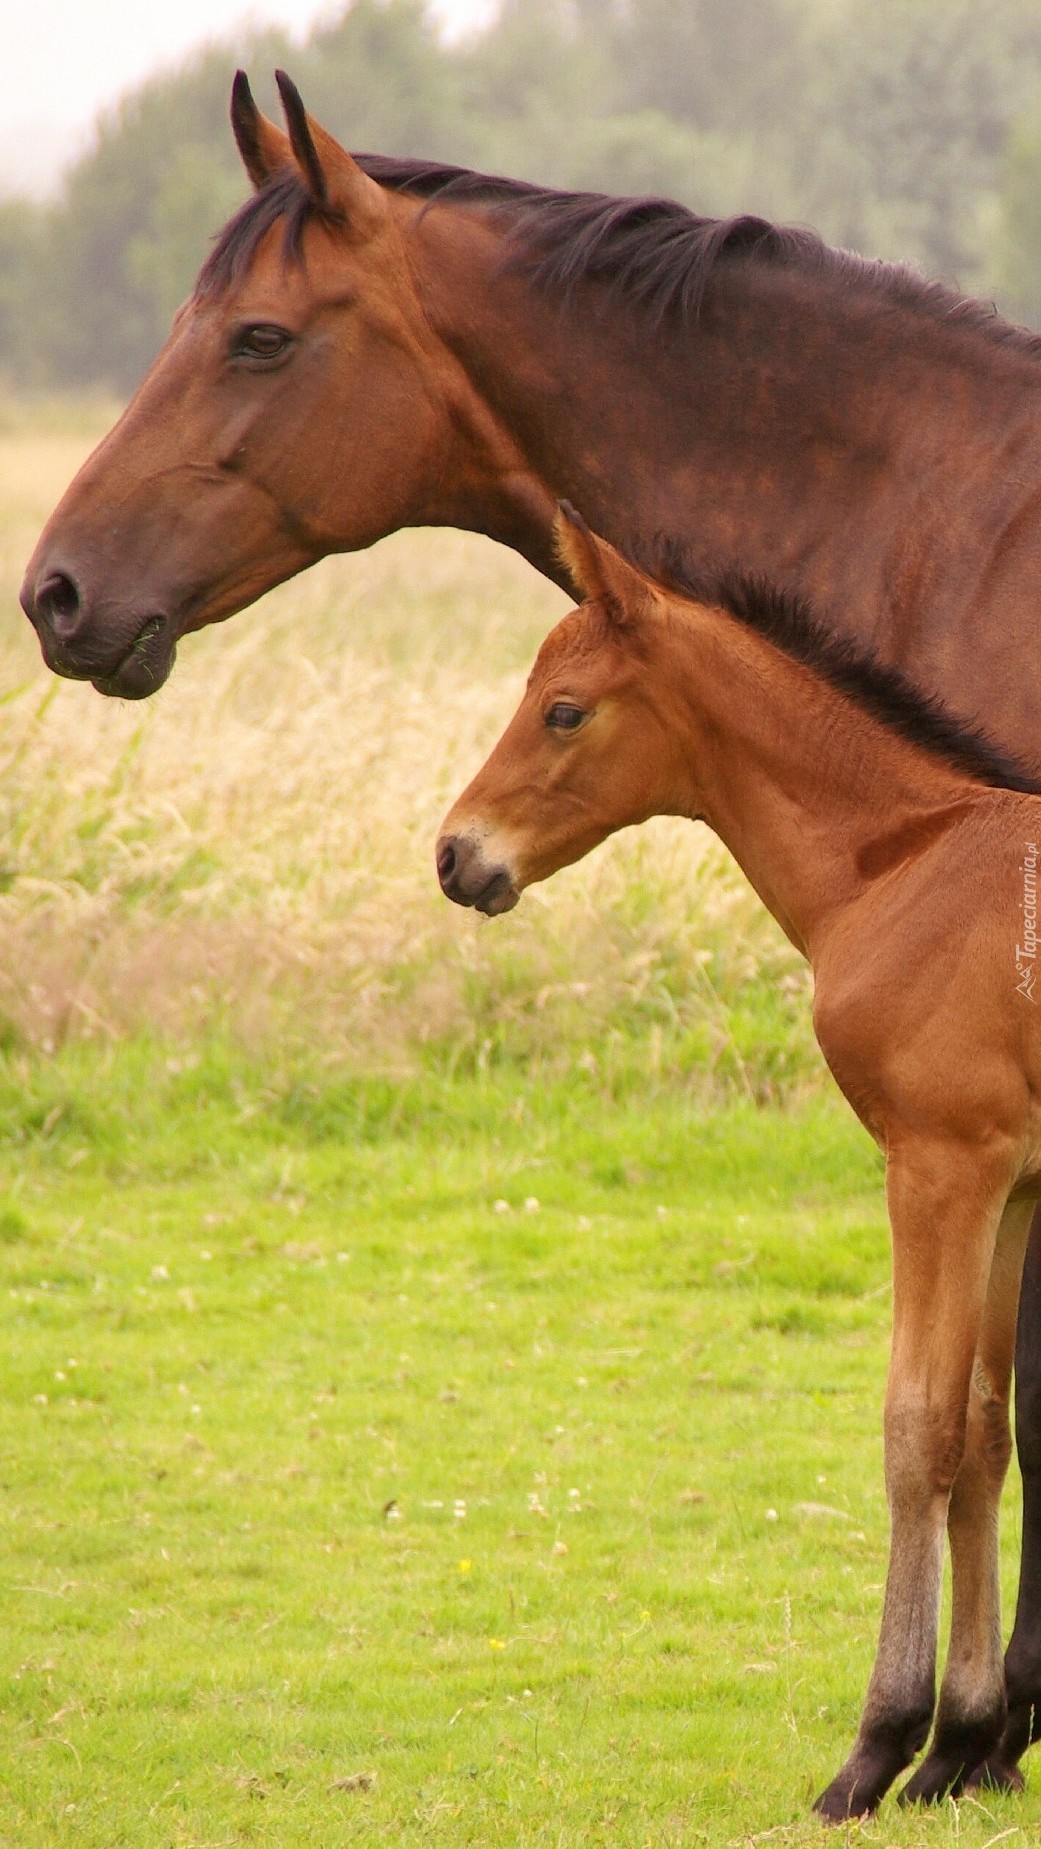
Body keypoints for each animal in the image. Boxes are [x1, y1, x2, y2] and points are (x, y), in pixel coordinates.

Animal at [440, 514, 1041, 1826]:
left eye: (564, 709)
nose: (456, 856)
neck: (903, 863)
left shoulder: (939, 1168)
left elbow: (916, 1427)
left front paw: (878, 1747)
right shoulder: (1014, 1185)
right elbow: (983, 1429)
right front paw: (961, 1747)